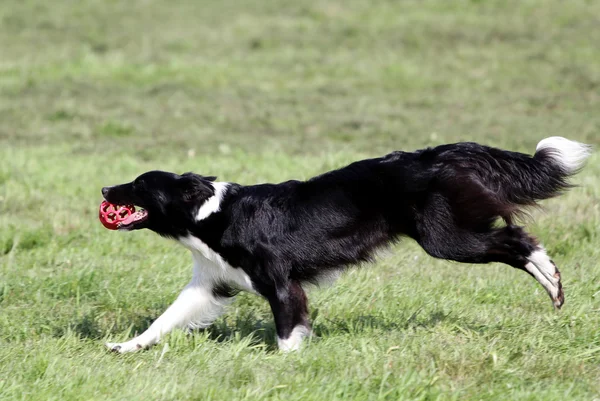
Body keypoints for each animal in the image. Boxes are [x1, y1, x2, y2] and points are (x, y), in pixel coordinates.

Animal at [101, 136, 588, 352]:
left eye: (139, 185)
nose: (105, 188)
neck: (211, 214)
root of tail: (440, 153)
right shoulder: (210, 284)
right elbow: (165, 319)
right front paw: (126, 347)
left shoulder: (281, 284)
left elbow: (288, 333)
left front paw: (286, 367)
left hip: (445, 238)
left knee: (517, 238)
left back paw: (552, 281)